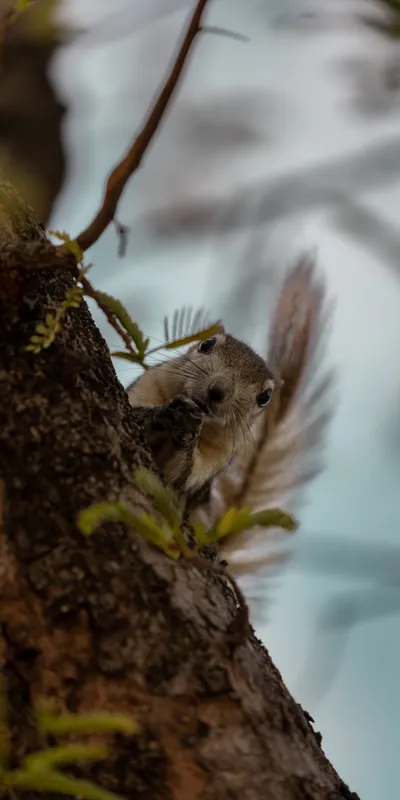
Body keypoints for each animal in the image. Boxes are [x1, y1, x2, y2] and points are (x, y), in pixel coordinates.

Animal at [127, 330, 275, 509]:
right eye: (206, 344)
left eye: (266, 397)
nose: (219, 389)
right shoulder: (150, 381)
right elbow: (133, 413)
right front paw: (168, 413)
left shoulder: (219, 454)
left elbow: (178, 476)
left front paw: (188, 429)